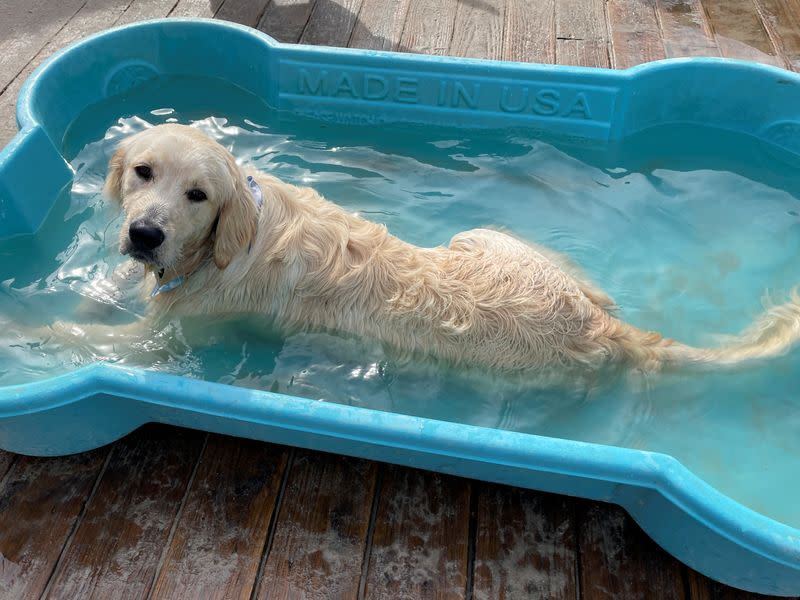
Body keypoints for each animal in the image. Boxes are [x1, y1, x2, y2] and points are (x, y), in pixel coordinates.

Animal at [48, 123, 800, 380]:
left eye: (198, 194)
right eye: (143, 172)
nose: (145, 235)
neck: (229, 240)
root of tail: (597, 327)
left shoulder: (175, 329)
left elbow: (78, 336)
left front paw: (28, 331)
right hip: (495, 237)